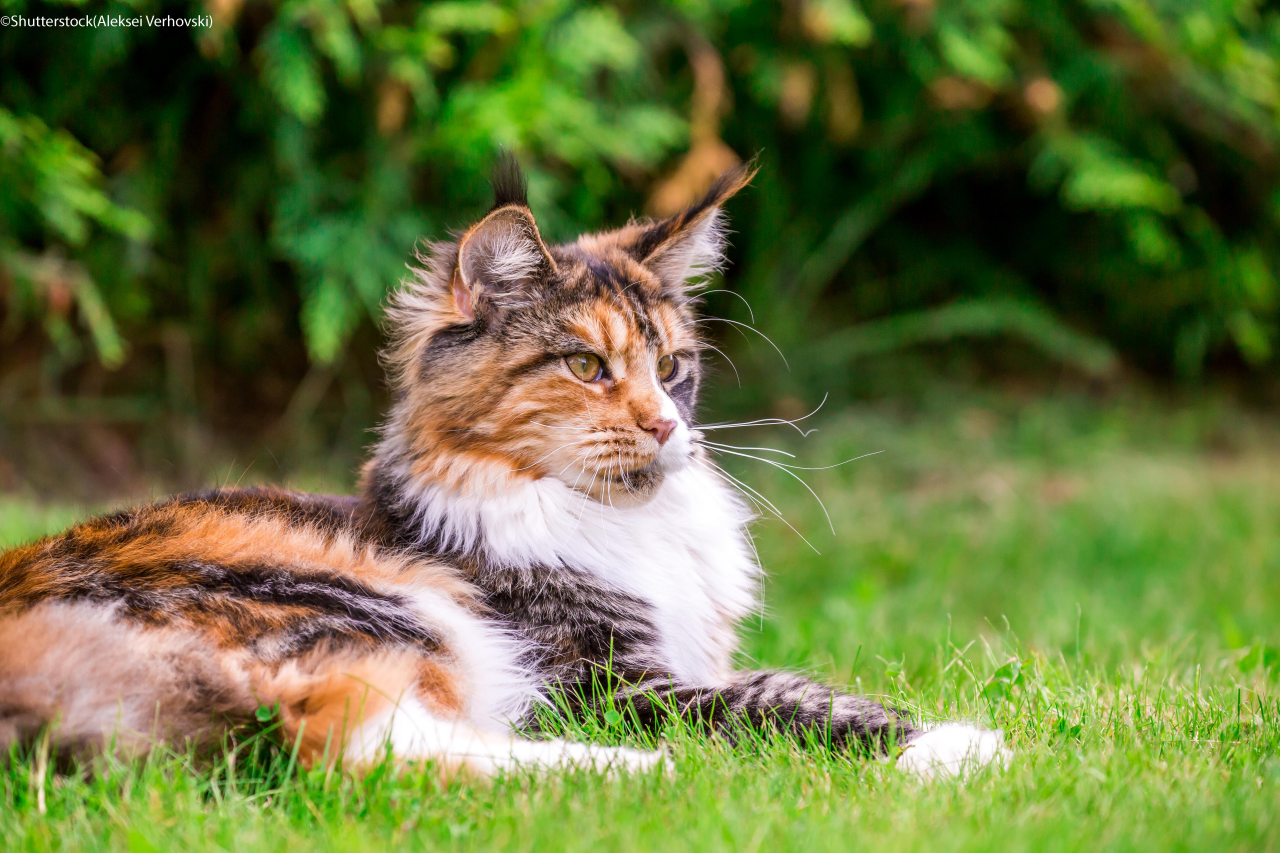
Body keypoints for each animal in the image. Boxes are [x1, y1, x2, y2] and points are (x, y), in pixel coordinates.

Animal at [0, 154, 998, 778]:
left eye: (673, 366)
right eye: (587, 366)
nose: (668, 426)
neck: (625, 523)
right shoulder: (599, 681)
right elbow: (777, 698)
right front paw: (950, 745)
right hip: (383, 608)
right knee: (342, 743)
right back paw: (640, 772)